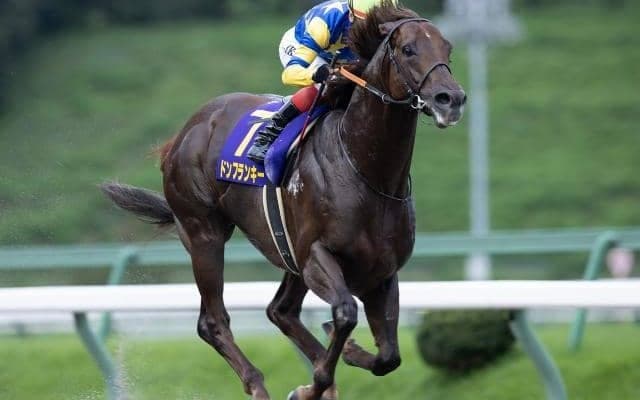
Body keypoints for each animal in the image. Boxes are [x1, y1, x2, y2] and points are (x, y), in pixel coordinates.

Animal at [102, 4, 465, 400]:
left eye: (447, 49)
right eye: (408, 50)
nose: (451, 99)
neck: (367, 171)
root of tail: (183, 134)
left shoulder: (381, 271)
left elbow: (389, 356)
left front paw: (341, 360)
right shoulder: (317, 255)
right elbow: (345, 314)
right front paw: (315, 382)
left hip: (287, 252)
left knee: (281, 311)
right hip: (204, 234)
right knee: (213, 321)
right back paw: (259, 384)